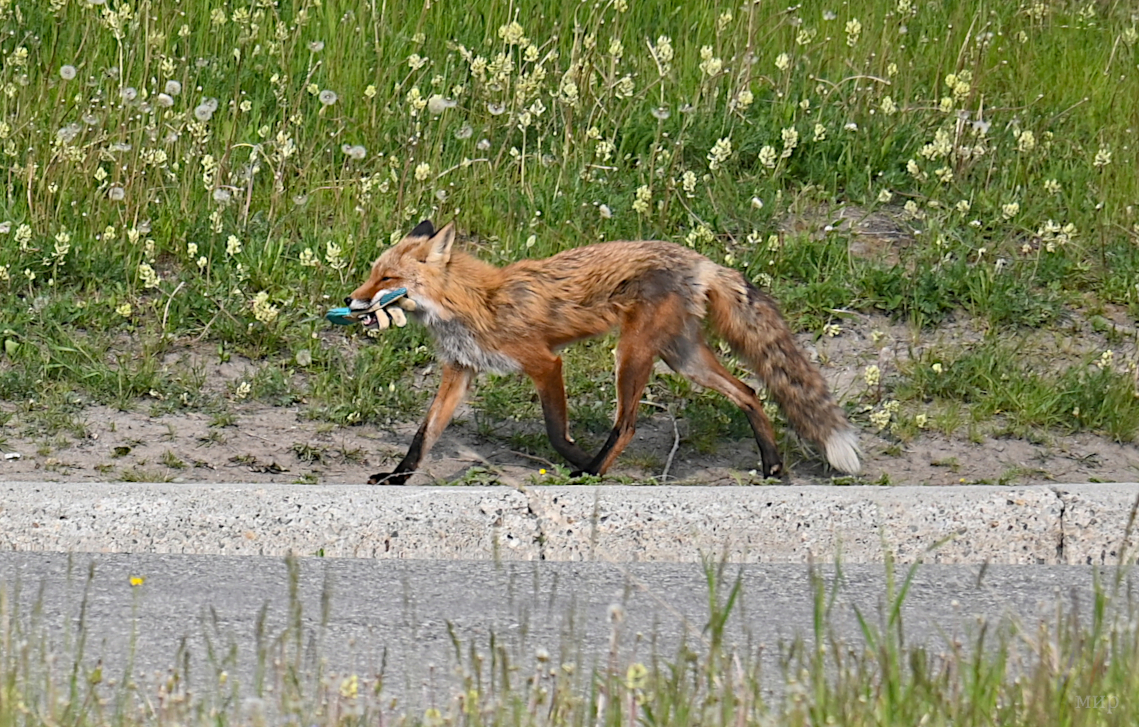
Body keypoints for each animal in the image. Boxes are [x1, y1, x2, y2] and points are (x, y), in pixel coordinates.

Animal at [341, 218, 856, 487]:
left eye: (387, 278)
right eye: (372, 274)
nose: (349, 299)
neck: (474, 303)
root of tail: (701, 261)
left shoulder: (545, 362)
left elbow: (555, 431)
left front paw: (575, 457)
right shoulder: (461, 371)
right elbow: (423, 434)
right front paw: (397, 477)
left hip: (632, 355)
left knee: (626, 426)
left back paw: (591, 472)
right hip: (683, 358)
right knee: (750, 391)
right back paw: (772, 465)